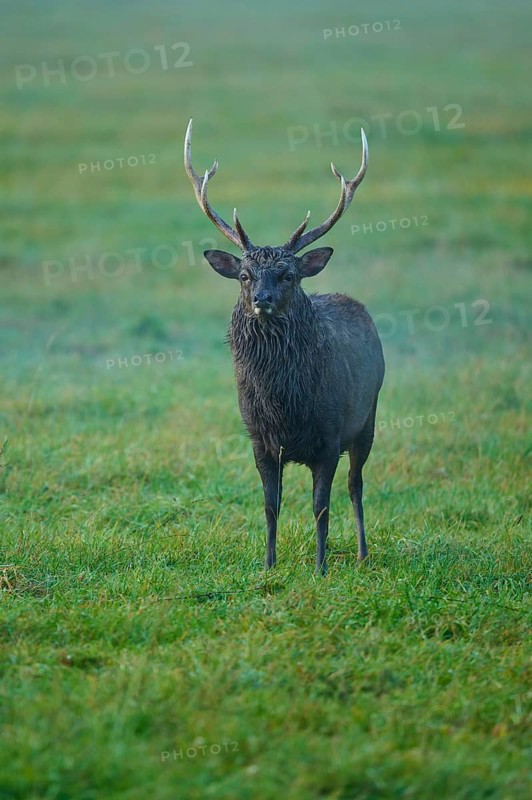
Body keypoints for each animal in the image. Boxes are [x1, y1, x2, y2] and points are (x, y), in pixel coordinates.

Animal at [184, 119, 384, 575]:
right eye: (244, 275)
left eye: (288, 275)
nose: (263, 299)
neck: (283, 403)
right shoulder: (259, 439)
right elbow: (270, 506)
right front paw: (268, 564)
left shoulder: (329, 437)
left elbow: (320, 508)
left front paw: (321, 568)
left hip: (367, 417)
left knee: (357, 485)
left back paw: (363, 552)